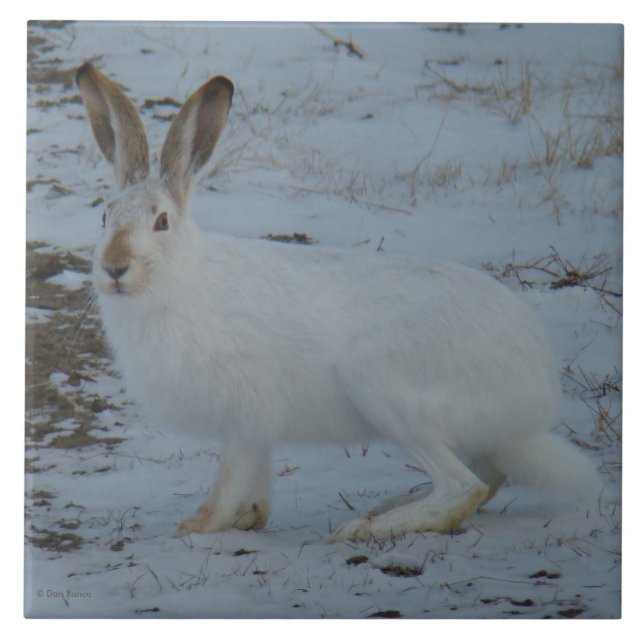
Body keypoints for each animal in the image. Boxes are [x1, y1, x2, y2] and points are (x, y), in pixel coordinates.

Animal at [76, 63, 601, 542]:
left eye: (161, 222)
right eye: (103, 217)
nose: (115, 267)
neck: (181, 280)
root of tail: (536, 390)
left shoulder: (247, 411)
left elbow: (229, 475)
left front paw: (200, 526)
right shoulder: (255, 426)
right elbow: (253, 476)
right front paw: (250, 517)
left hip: (384, 388)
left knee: (463, 487)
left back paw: (367, 528)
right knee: (487, 478)